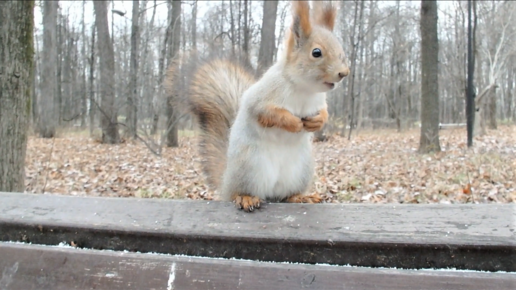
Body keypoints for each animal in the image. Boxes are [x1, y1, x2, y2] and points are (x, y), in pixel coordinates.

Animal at [167, 0, 348, 213]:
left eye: (341, 50)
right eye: (316, 52)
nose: (344, 73)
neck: (304, 89)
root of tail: (226, 183)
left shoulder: (319, 101)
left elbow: (325, 113)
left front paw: (317, 121)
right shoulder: (261, 97)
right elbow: (267, 112)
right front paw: (293, 122)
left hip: (301, 171)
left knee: (286, 195)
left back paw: (301, 197)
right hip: (250, 166)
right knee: (241, 191)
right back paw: (245, 197)